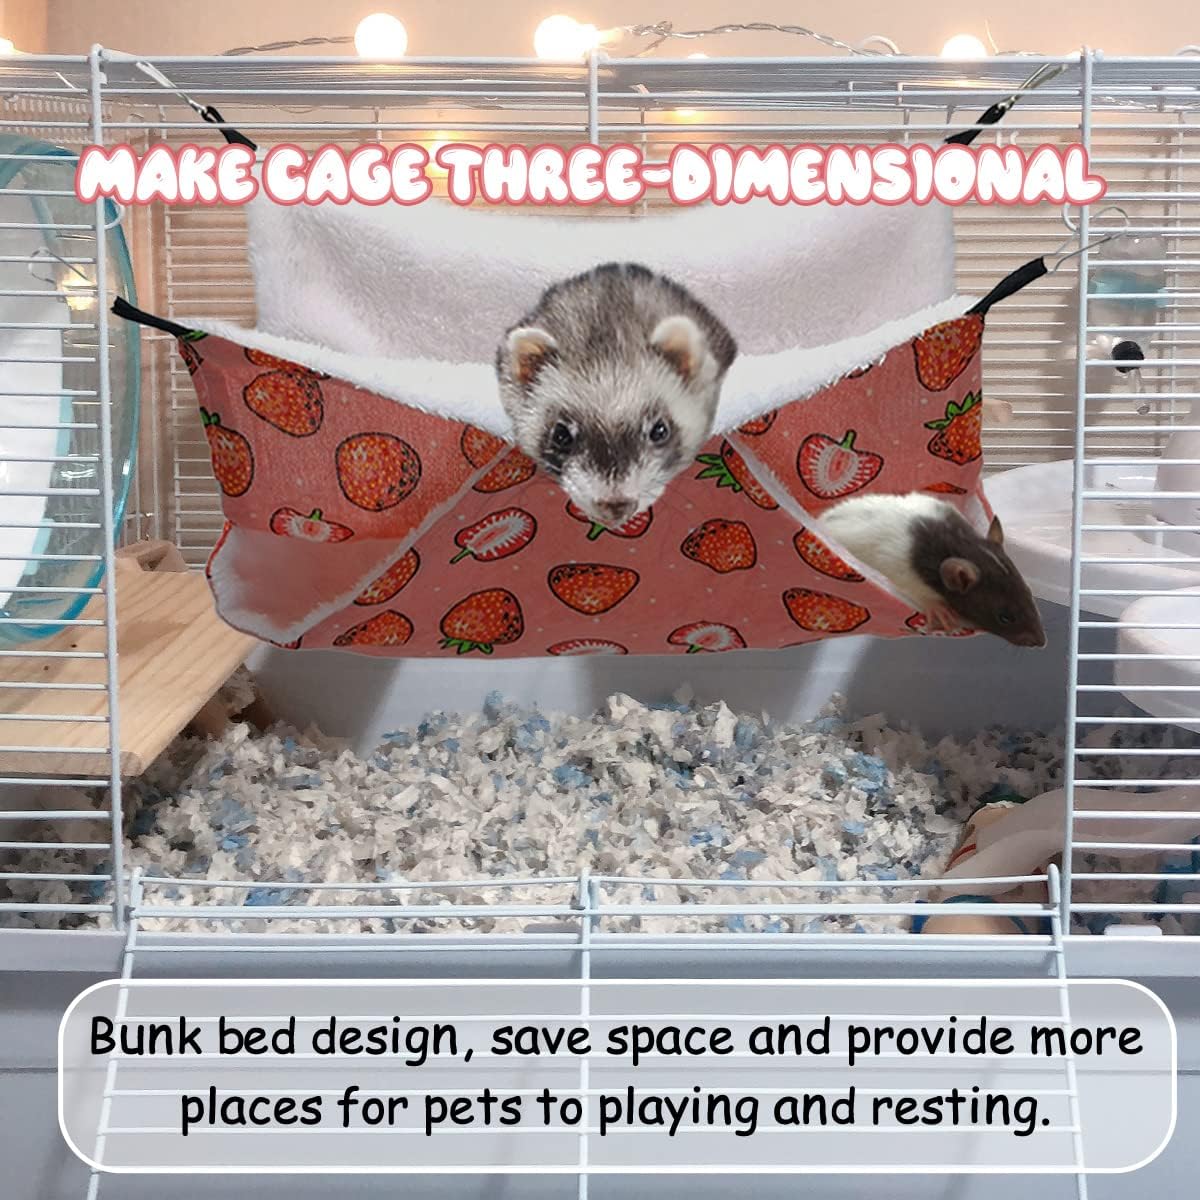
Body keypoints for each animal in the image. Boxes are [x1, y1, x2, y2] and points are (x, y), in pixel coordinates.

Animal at [818, 493, 1046, 648]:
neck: (959, 543)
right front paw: (937, 607)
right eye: (1005, 618)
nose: (1042, 642)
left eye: (1029, 593)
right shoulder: (901, 572)